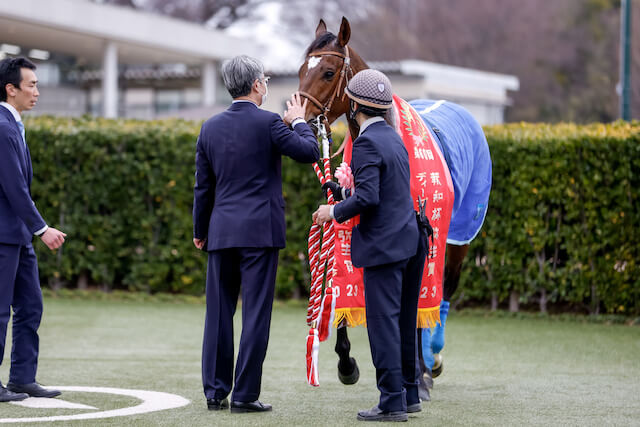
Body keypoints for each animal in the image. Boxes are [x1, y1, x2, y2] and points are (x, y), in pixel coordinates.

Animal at [298, 16, 488, 392]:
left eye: (328, 72)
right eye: (300, 69)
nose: (292, 121)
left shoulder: (419, 232)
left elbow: (413, 303)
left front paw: (418, 371)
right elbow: (344, 283)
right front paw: (347, 362)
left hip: (459, 236)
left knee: (443, 292)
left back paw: (431, 359)